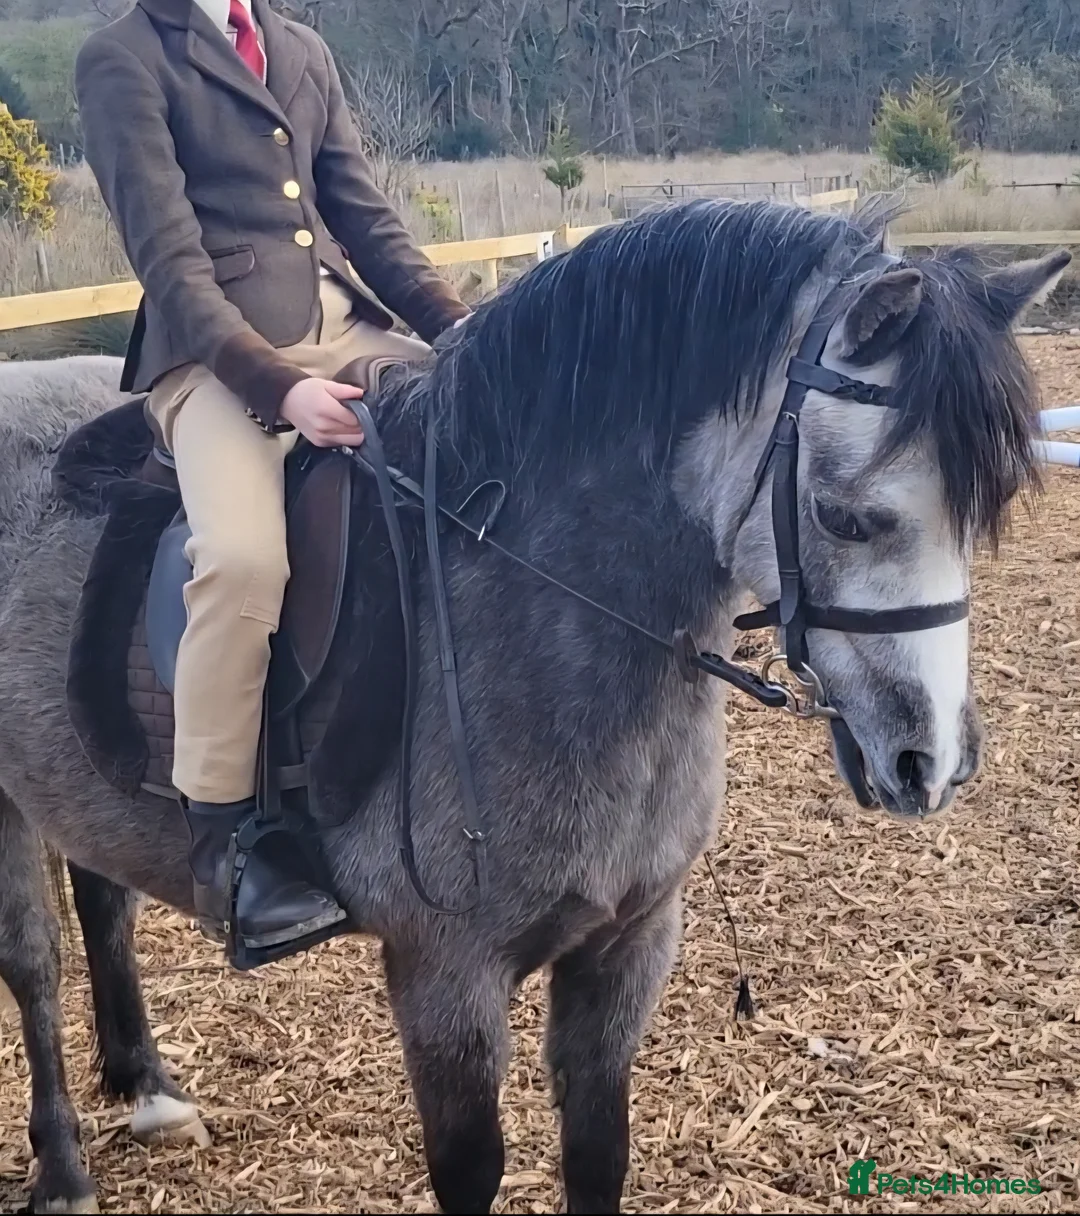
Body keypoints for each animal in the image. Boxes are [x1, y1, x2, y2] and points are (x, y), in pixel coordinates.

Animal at [0, 199, 1065, 1214]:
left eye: (989, 506)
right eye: (848, 520)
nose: (934, 762)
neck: (528, 606)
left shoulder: (627, 947)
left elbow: (597, 1157)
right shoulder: (447, 977)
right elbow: (472, 1171)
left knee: (104, 900)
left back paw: (145, 1086)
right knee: (34, 965)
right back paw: (62, 1168)